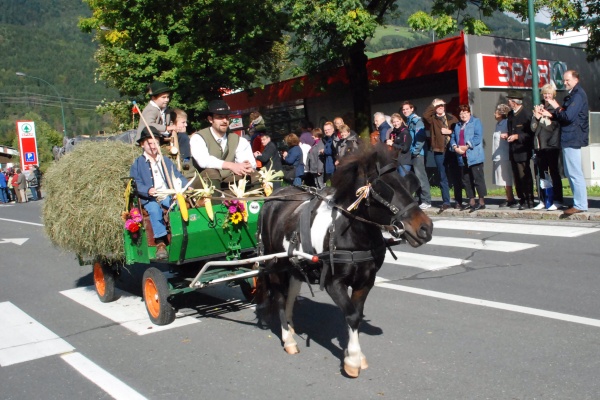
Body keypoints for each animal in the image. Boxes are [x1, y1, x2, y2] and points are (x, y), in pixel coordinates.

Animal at [256, 144, 432, 378]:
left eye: (408, 183)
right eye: (384, 189)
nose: (426, 228)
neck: (350, 233)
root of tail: (273, 198)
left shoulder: (365, 282)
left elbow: (356, 314)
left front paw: (353, 353)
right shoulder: (333, 283)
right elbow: (351, 315)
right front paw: (353, 360)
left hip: (294, 265)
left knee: (291, 292)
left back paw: (291, 327)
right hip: (275, 264)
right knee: (278, 298)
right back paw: (288, 339)